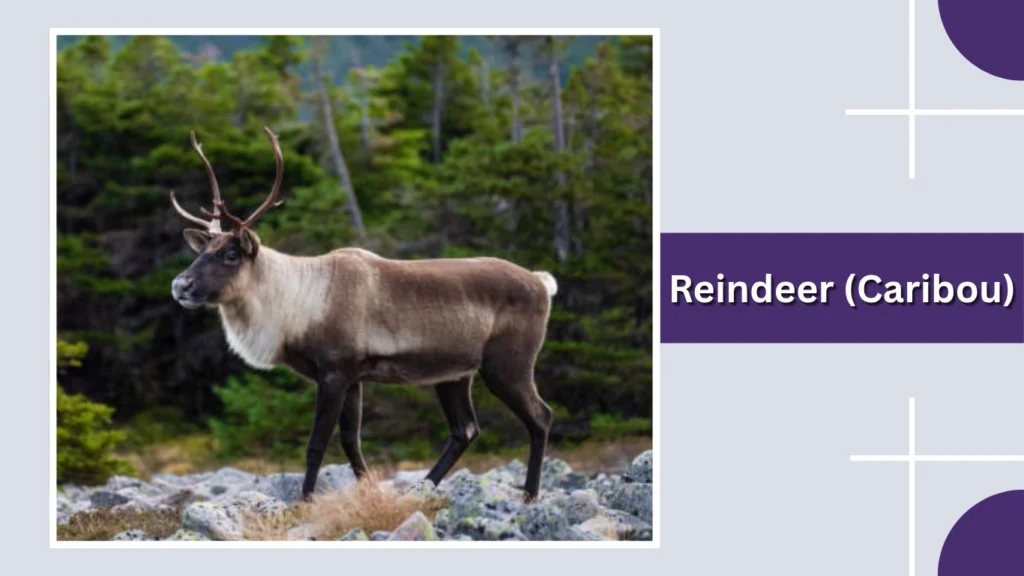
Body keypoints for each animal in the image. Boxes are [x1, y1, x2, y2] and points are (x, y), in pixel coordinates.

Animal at [169, 127, 558, 503]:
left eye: (231, 255)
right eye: (203, 251)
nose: (180, 285)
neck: (294, 305)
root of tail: (543, 283)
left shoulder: (335, 371)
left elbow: (317, 444)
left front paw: (304, 501)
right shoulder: (354, 378)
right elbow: (350, 441)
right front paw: (369, 491)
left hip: (507, 364)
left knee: (541, 417)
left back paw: (529, 495)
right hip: (455, 374)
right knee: (465, 430)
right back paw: (423, 488)